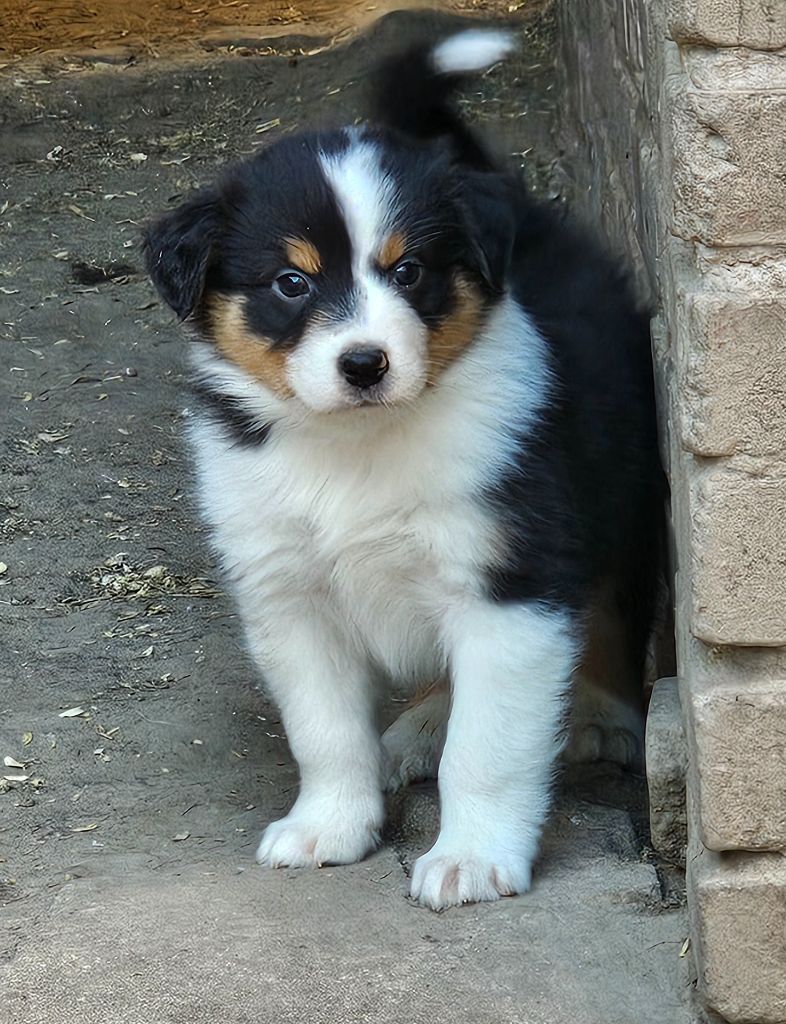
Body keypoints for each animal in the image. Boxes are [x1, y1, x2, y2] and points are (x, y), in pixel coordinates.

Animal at [145, 29, 663, 913]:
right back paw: (420, 724)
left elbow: (487, 748)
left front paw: (473, 858)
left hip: (621, 485)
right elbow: (323, 730)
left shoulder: (509, 586)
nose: (364, 363)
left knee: (612, 607)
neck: (360, 444)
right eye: (292, 282)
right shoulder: (288, 593)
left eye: (410, 270)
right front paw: (328, 825)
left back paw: (599, 713)